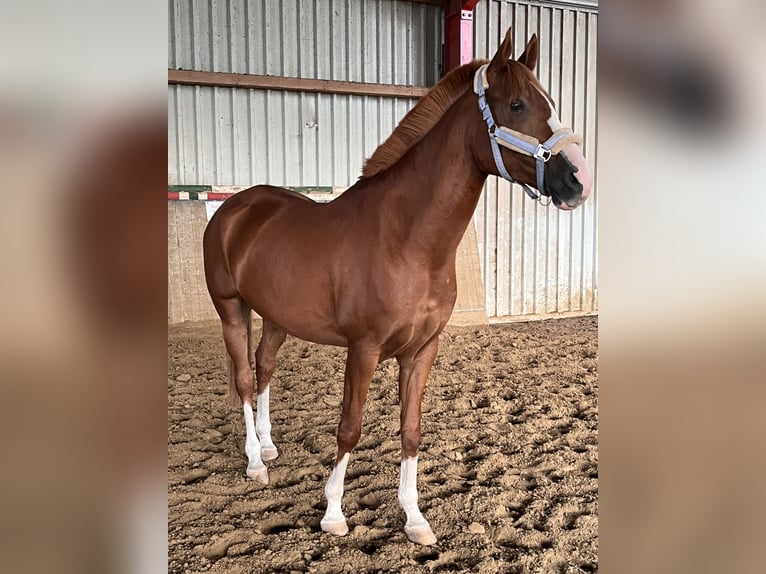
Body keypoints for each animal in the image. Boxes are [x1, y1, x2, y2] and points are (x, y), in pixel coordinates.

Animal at [204, 28, 592, 548]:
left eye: (550, 101)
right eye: (516, 105)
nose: (579, 180)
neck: (407, 240)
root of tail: (235, 208)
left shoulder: (422, 350)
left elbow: (410, 431)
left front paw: (414, 518)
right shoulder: (364, 349)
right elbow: (349, 429)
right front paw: (333, 513)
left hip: (277, 318)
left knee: (264, 369)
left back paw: (267, 448)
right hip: (231, 309)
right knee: (246, 379)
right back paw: (253, 462)